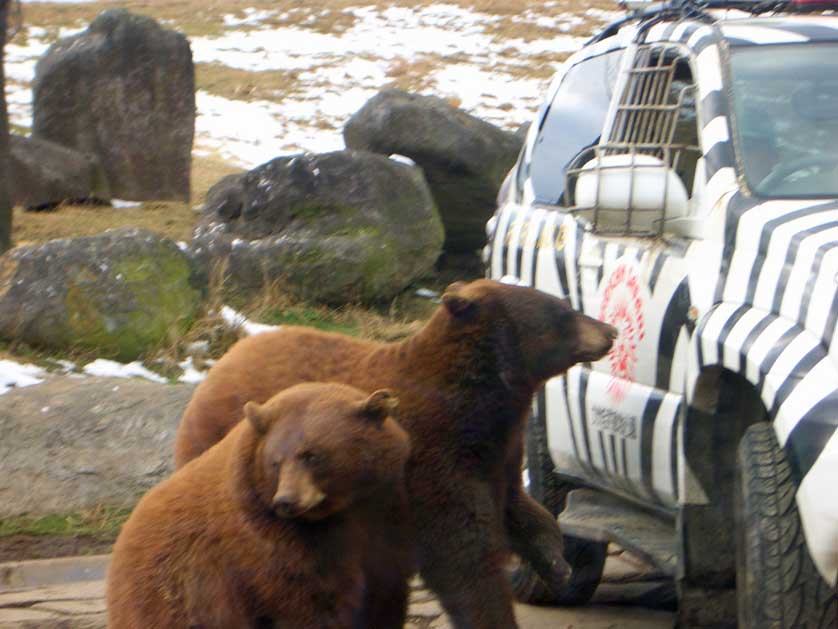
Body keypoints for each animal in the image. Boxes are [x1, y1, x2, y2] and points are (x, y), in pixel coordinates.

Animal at [107, 383, 412, 629]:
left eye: (312, 455)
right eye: (276, 461)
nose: (286, 501)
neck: (342, 509)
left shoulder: (383, 521)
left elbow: (384, 591)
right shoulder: (270, 547)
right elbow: (311, 602)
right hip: (171, 592)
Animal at [174, 279, 617, 629]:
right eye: (563, 309)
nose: (610, 330)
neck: (480, 403)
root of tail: (219, 366)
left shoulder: (496, 453)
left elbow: (518, 509)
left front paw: (557, 564)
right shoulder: (433, 460)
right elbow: (465, 559)